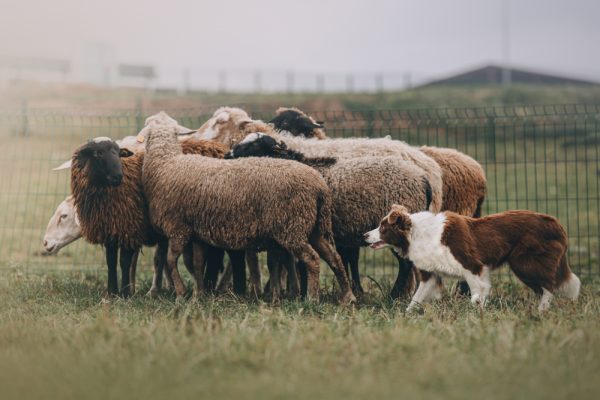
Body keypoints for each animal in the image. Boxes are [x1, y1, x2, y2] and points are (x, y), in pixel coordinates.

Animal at [364, 205, 580, 310]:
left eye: (383, 228)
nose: (364, 236)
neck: (417, 233)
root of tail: (556, 223)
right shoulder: (430, 275)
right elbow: (416, 299)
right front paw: (406, 316)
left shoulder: (473, 266)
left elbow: (478, 293)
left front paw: (477, 314)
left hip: (524, 263)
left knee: (549, 286)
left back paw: (541, 311)